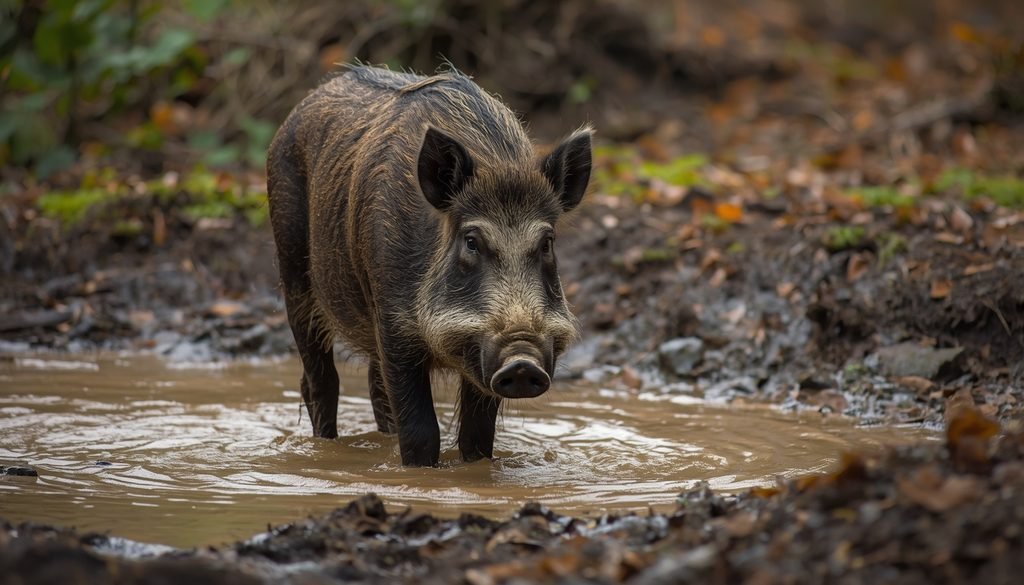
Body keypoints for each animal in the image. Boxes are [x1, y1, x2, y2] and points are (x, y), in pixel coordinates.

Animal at [266, 65, 592, 466]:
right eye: (471, 240)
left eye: (547, 243)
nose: (522, 362)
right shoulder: (394, 328)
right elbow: (421, 433)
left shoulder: (477, 355)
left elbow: (477, 439)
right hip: (293, 273)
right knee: (320, 383)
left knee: (374, 388)